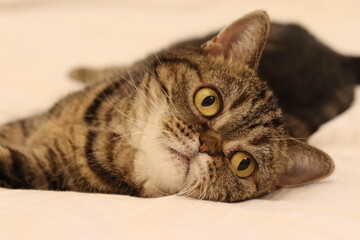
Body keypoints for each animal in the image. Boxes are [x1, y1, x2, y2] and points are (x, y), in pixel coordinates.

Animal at [1, 9, 356, 202]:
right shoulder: (31, 124)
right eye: (209, 101)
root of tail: (336, 56)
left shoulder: (38, 169)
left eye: (243, 163)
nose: (204, 145)